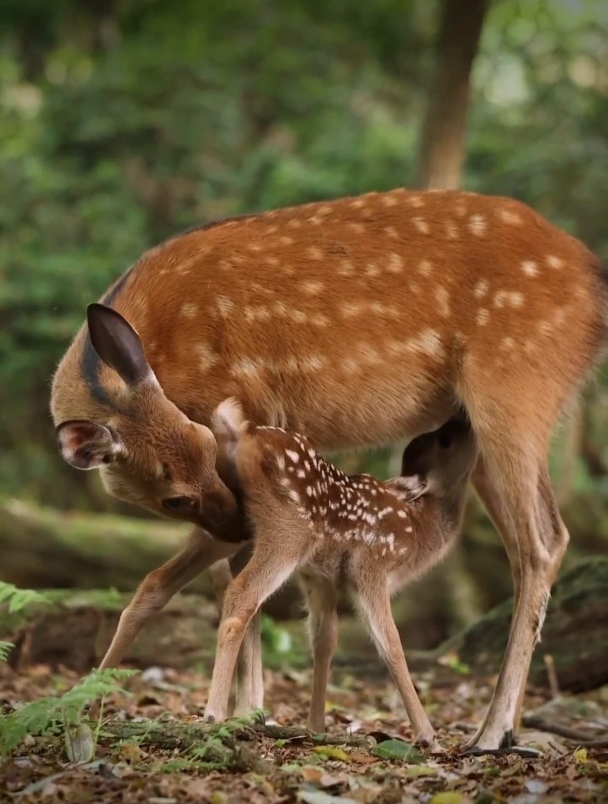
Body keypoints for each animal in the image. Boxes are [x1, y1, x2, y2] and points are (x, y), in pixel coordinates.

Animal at [51, 188, 608, 752]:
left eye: (208, 445)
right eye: (172, 498)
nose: (234, 521)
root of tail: (594, 278)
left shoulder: (251, 412)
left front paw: (246, 711)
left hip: (512, 385)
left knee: (542, 543)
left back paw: (490, 732)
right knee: (537, 542)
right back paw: (506, 727)